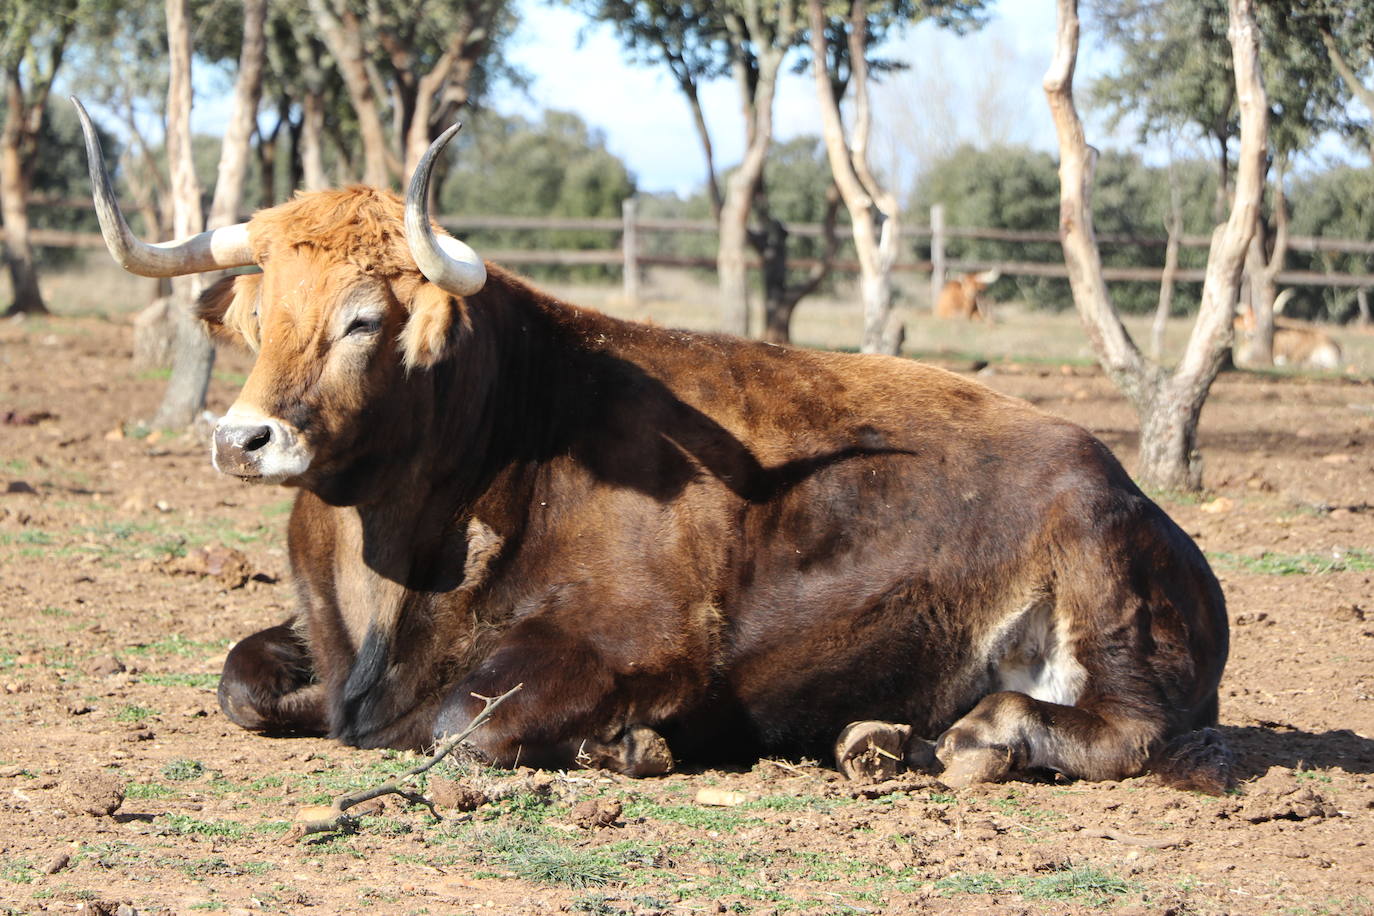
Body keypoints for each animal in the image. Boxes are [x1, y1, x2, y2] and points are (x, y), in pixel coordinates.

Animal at [75, 98, 1236, 791]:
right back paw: (875, 739)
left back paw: (984, 735)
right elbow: (239, 677)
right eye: (259, 313)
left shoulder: (638, 646)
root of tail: (1128, 485)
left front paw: (628, 743)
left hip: (1100, 591)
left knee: (1130, 725)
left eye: (363, 318)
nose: (245, 438)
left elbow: (460, 719)